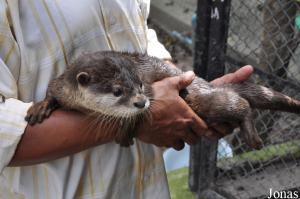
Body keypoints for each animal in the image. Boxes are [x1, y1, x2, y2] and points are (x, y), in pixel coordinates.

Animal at [25, 50, 300, 148]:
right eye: (117, 91)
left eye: (139, 84)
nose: (140, 102)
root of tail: (204, 83)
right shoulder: (62, 84)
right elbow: (51, 91)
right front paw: (39, 107)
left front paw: (124, 133)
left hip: (205, 100)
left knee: (240, 104)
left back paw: (253, 138)